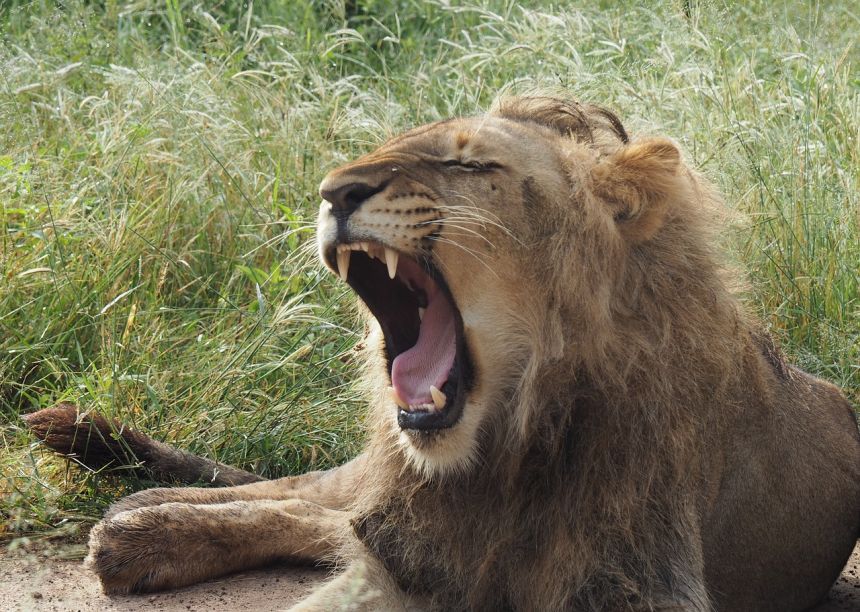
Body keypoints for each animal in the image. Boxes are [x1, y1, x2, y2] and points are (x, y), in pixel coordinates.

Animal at [23, 97, 856, 612]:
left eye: (470, 167)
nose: (332, 190)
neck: (512, 447)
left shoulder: (642, 577)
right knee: (311, 495)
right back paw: (142, 515)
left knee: (319, 514)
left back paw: (137, 526)